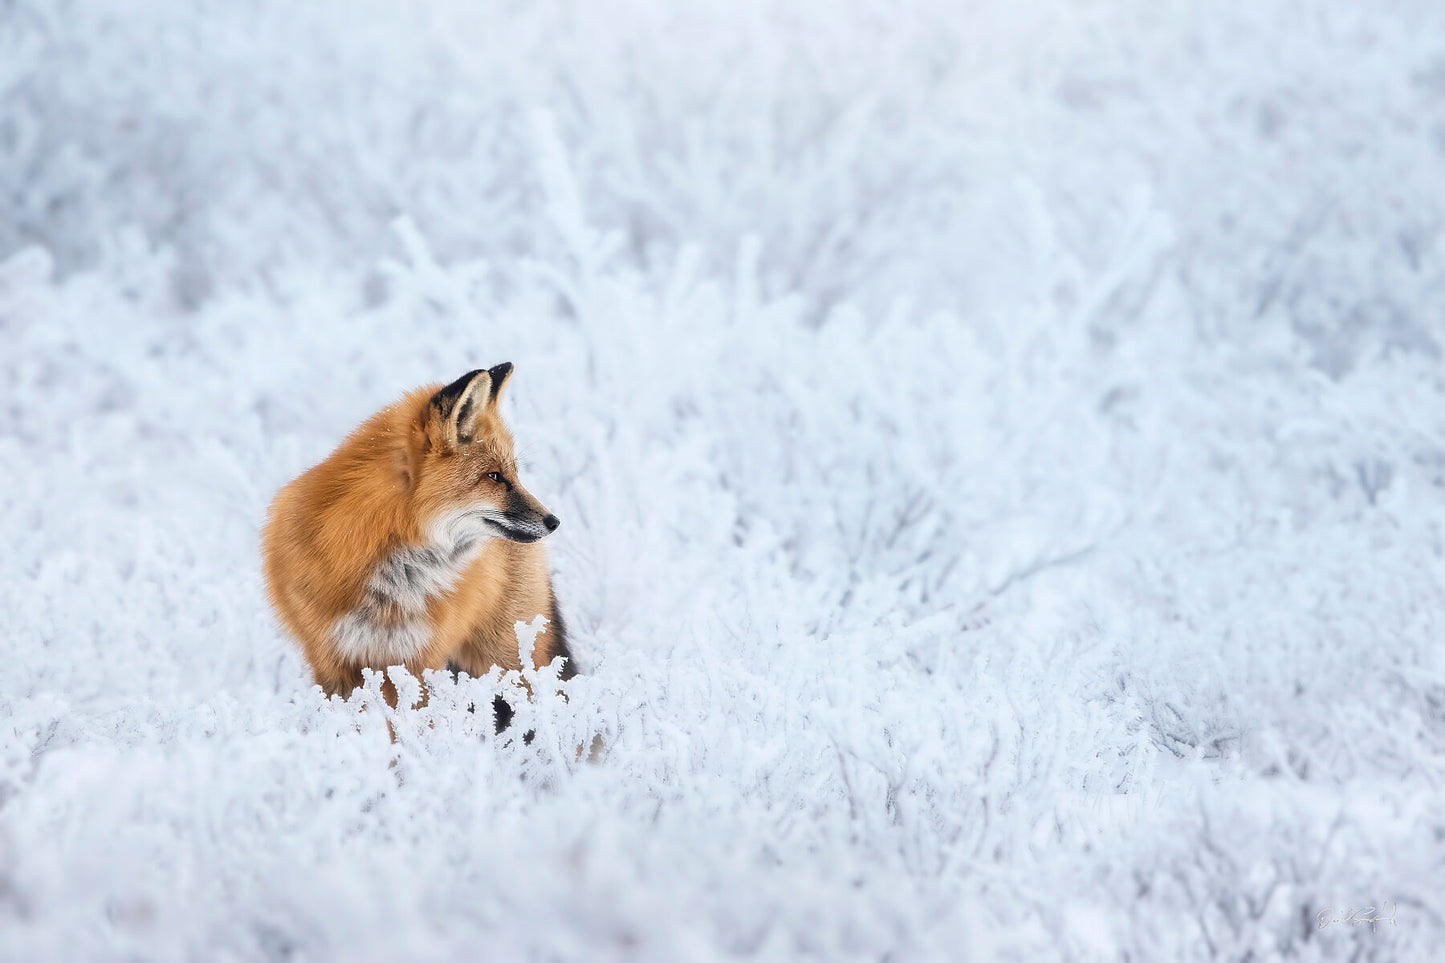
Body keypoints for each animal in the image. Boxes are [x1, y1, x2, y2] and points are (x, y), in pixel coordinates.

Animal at [265, 361, 569, 711]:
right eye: (494, 476)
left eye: (514, 475)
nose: (554, 521)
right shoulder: (331, 661)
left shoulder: (415, 663)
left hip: (506, 658)